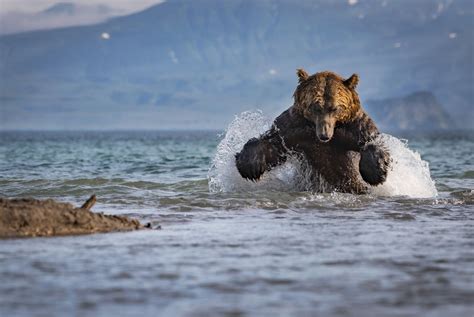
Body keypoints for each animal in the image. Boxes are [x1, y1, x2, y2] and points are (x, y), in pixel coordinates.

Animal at [235, 69, 390, 193]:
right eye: (315, 107)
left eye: (335, 108)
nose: (324, 135)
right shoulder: (293, 129)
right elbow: (273, 145)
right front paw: (249, 165)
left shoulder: (354, 127)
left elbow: (372, 141)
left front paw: (376, 172)